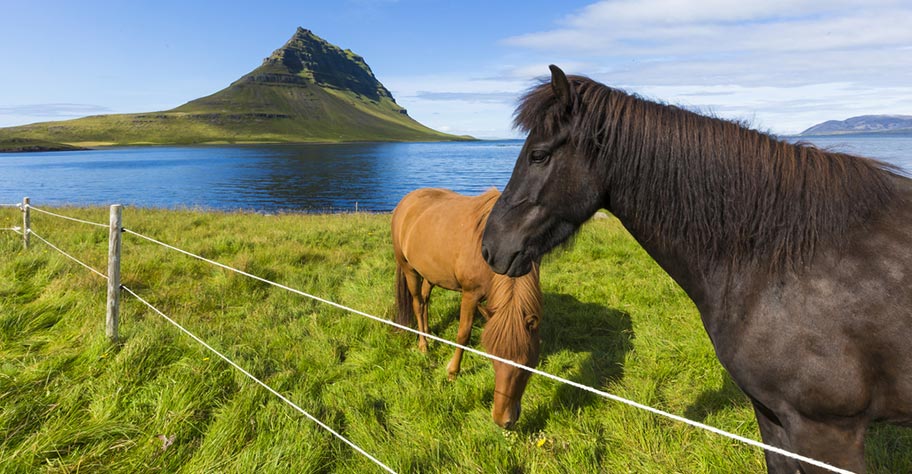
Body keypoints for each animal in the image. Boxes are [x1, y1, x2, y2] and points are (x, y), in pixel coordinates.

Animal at [392, 187, 540, 428]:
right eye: (493, 359)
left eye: (527, 364)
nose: (503, 421)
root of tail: (406, 201)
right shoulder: (471, 295)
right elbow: (463, 334)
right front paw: (452, 372)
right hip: (409, 270)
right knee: (417, 304)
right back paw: (423, 345)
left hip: (430, 274)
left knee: (425, 300)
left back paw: (429, 333)